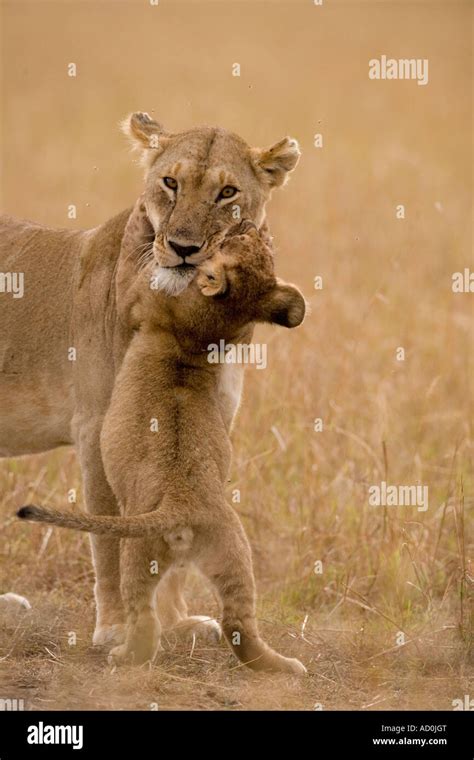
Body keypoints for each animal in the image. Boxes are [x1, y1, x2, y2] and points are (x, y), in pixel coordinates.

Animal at [0, 112, 300, 648]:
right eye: (170, 183)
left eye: (227, 192)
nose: (183, 249)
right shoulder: (96, 427)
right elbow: (109, 535)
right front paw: (117, 627)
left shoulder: (212, 424)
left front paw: (177, 620)